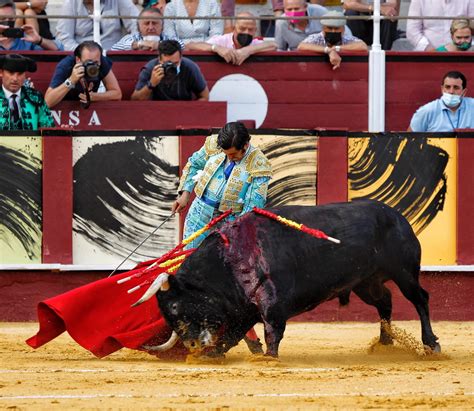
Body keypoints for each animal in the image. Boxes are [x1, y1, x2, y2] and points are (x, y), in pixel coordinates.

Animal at [150, 200, 438, 358]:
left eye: (174, 305)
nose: (191, 344)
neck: (230, 259)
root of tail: (398, 216)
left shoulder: (272, 304)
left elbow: (271, 332)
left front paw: (269, 358)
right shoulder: (244, 309)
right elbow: (230, 337)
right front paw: (209, 356)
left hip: (404, 273)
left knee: (420, 299)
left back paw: (431, 344)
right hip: (366, 283)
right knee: (385, 302)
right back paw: (385, 344)